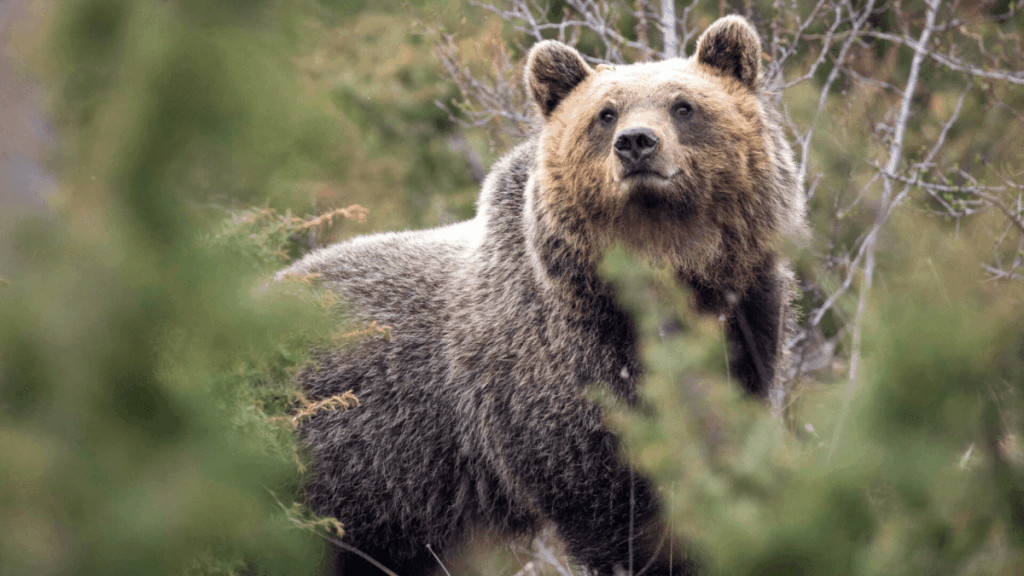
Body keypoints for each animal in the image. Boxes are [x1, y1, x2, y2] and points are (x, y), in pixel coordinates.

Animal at [278, 15, 806, 576]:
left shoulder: (744, 317)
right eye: (605, 113)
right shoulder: (557, 368)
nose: (636, 142)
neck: (665, 275)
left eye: (684, 105)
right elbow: (610, 498)